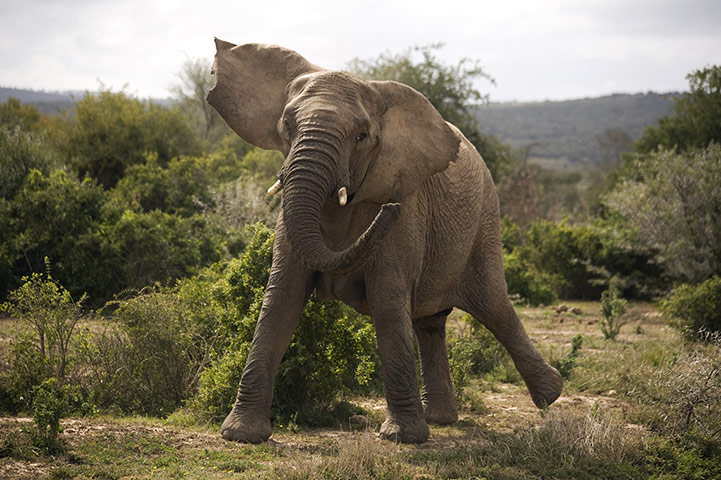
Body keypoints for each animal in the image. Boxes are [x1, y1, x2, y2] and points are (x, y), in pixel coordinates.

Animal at [205, 39, 560, 444]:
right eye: (287, 125)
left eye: (361, 137)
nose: (389, 210)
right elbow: (281, 299)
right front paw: (241, 435)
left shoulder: (405, 212)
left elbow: (389, 303)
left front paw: (402, 438)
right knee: (430, 321)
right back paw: (441, 418)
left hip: (485, 217)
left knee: (493, 305)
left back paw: (550, 395)